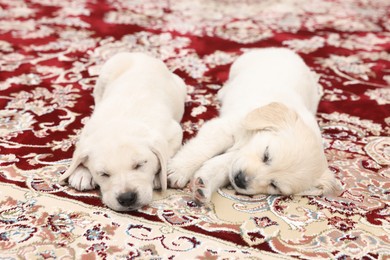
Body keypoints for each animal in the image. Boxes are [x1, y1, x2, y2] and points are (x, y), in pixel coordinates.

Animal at [58, 52, 187, 211]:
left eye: (140, 165)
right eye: (104, 174)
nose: (127, 198)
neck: (122, 121)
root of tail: (139, 54)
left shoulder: (174, 132)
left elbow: (166, 154)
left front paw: (159, 176)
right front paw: (82, 173)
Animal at [169, 47, 340, 204]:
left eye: (274, 185)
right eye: (266, 155)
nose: (240, 180)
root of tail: (287, 51)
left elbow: (222, 164)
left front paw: (203, 186)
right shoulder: (226, 128)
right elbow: (202, 149)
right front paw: (178, 170)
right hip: (239, 66)